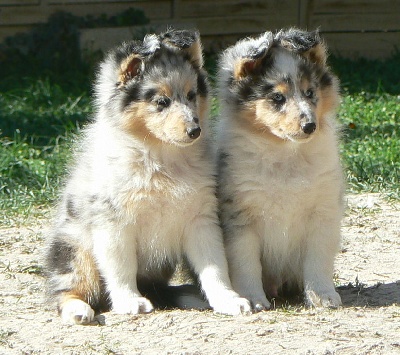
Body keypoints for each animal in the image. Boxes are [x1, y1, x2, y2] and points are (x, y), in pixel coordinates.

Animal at [44, 29, 250, 326]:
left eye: (191, 95)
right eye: (161, 102)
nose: (195, 130)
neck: (160, 159)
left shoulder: (201, 219)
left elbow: (214, 267)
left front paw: (228, 299)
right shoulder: (114, 223)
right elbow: (121, 268)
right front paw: (129, 301)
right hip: (75, 250)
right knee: (68, 289)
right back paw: (79, 310)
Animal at [216, 28, 344, 312]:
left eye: (310, 92)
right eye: (277, 97)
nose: (310, 126)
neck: (285, 154)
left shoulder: (323, 212)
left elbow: (318, 261)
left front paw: (323, 296)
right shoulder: (240, 217)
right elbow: (247, 264)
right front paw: (253, 299)